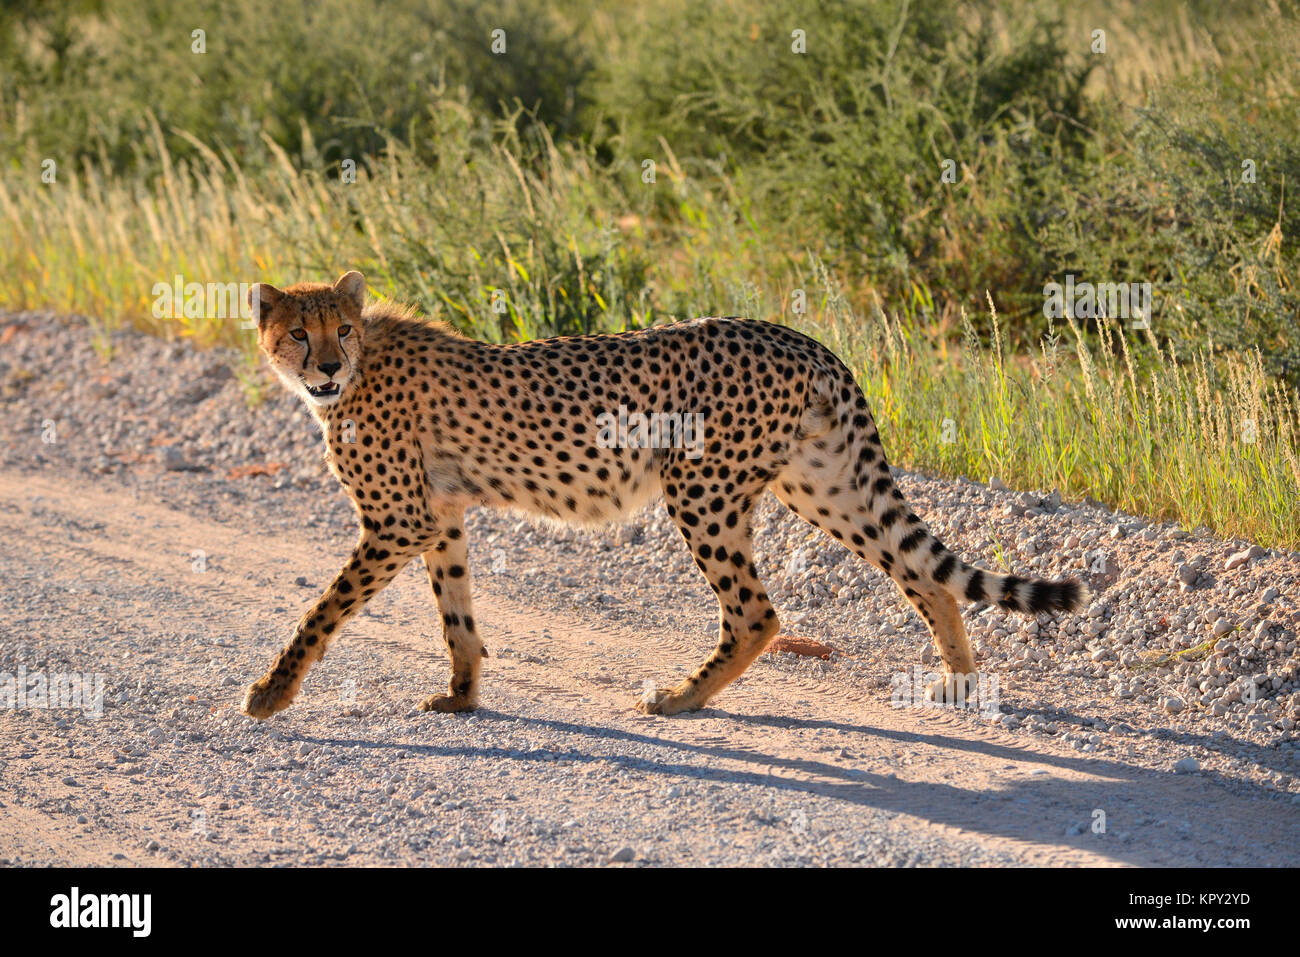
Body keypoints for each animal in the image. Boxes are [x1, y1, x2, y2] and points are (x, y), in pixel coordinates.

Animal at [239, 269, 1081, 717]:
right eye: (298, 332)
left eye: (342, 329)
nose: (325, 366)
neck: (356, 376)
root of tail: (801, 337)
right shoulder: (438, 515)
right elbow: (457, 614)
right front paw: (464, 694)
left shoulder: (397, 520)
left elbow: (321, 610)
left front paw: (273, 691)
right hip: (823, 483)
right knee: (923, 575)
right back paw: (958, 680)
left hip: (703, 487)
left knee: (757, 612)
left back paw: (681, 696)